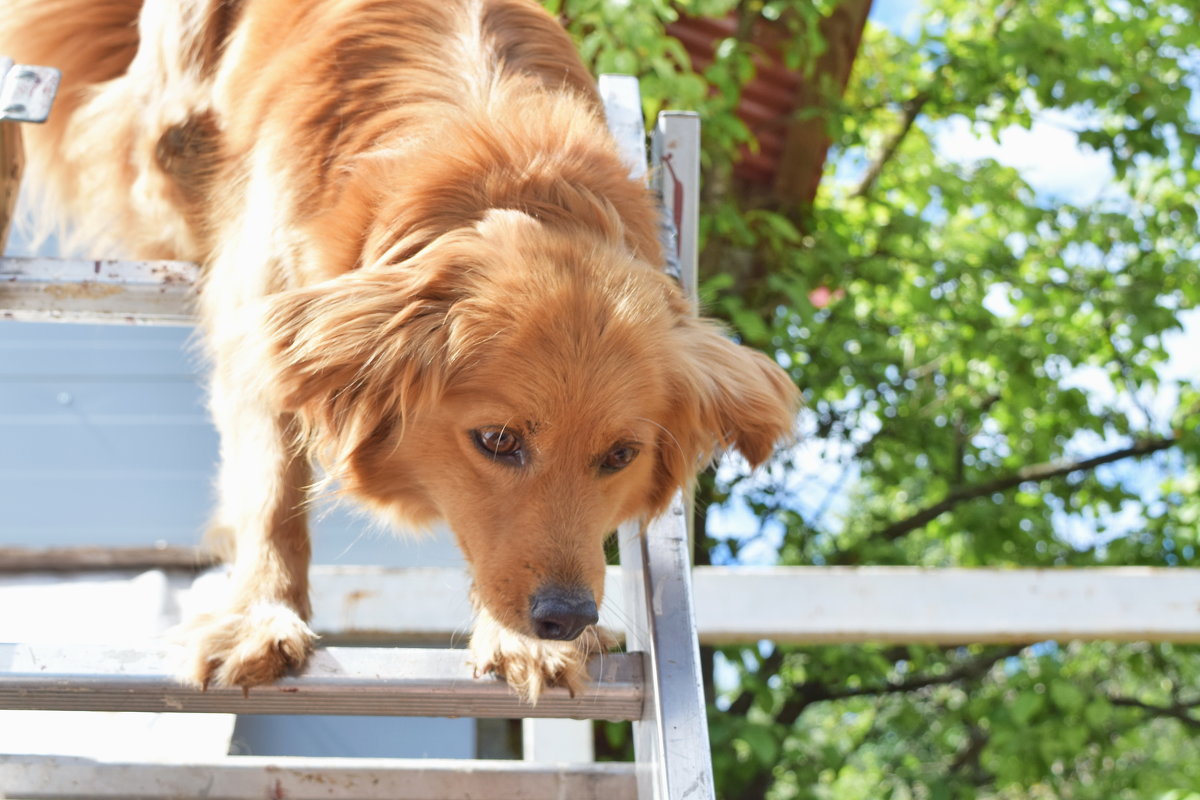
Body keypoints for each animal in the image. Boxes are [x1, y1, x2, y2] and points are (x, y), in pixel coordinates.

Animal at [4, 0, 801, 700]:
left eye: (620, 456)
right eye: (498, 440)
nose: (566, 617)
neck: (505, 172)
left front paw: (518, 642)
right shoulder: (264, 323)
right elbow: (270, 489)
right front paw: (261, 617)